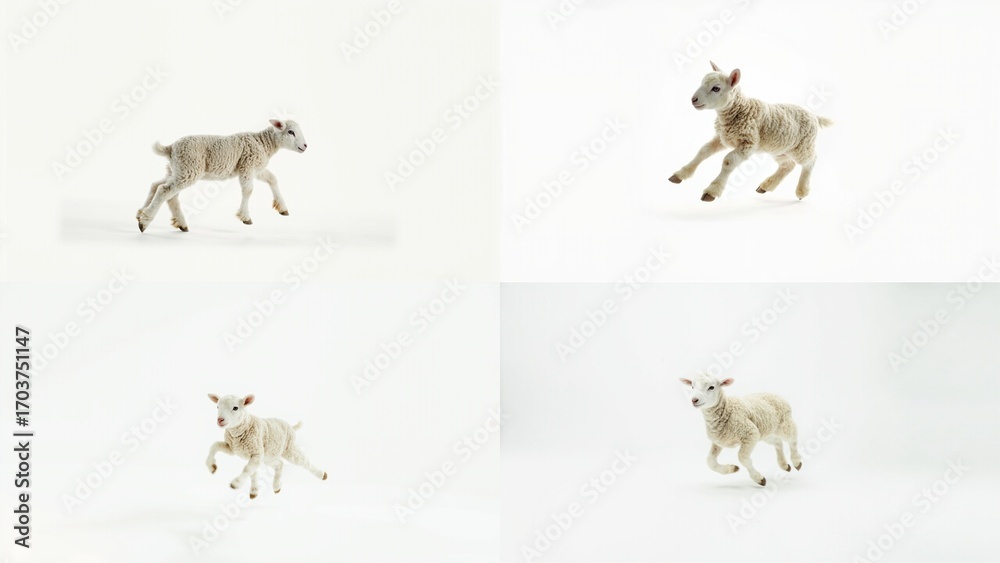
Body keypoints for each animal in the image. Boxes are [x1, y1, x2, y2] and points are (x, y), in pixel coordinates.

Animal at [136, 119, 308, 233]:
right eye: (291, 132)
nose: (305, 146)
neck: (263, 143)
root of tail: (170, 148)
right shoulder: (247, 165)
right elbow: (248, 191)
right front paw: (245, 217)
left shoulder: (257, 169)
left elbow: (273, 179)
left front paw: (282, 207)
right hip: (189, 168)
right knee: (164, 190)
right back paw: (145, 221)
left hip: (176, 169)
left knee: (159, 187)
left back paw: (152, 216)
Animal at [669, 62, 832, 202]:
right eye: (702, 82)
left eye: (716, 88)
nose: (693, 99)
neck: (740, 109)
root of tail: (814, 116)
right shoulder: (723, 138)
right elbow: (703, 151)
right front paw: (680, 174)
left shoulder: (748, 144)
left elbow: (728, 161)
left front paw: (712, 191)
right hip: (780, 149)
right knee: (787, 165)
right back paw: (766, 186)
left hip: (803, 146)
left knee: (811, 161)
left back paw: (802, 191)